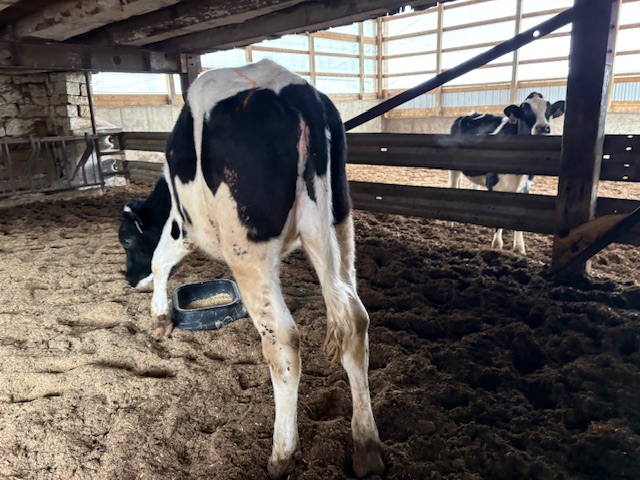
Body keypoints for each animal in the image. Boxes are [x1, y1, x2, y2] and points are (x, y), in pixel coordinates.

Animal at [118, 59, 384, 479]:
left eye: (126, 240)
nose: (129, 279)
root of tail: (296, 92)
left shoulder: (182, 225)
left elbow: (161, 260)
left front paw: (159, 316)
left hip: (247, 250)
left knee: (284, 341)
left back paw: (281, 453)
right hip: (338, 226)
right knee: (354, 320)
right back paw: (366, 446)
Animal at [449, 92, 565, 255]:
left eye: (548, 110)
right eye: (525, 110)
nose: (543, 127)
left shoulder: (526, 186)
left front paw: (519, 247)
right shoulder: (494, 183)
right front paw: (497, 244)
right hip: (454, 168)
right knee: (453, 185)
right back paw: (452, 223)